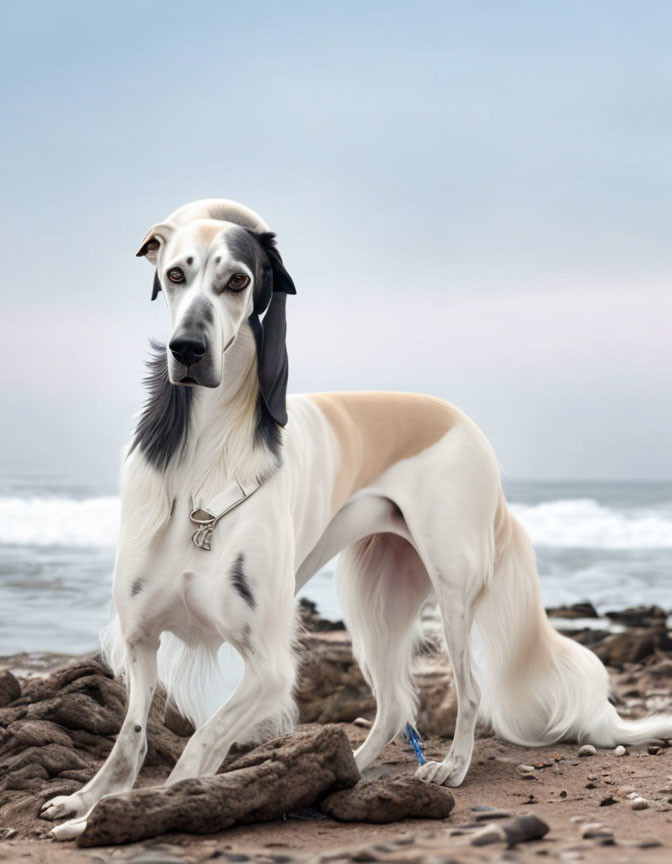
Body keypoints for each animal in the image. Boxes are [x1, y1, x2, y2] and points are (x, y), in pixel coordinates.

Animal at [40, 197, 672, 836]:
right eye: (175, 274)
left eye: (237, 281)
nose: (188, 349)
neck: (206, 456)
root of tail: (463, 422)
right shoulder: (141, 638)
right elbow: (132, 736)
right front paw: (86, 799)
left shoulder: (268, 666)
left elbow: (200, 744)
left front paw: (133, 811)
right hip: (376, 599)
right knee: (393, 705)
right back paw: (350, 767)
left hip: (451, 590)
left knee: (469, 690)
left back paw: (451, 766)